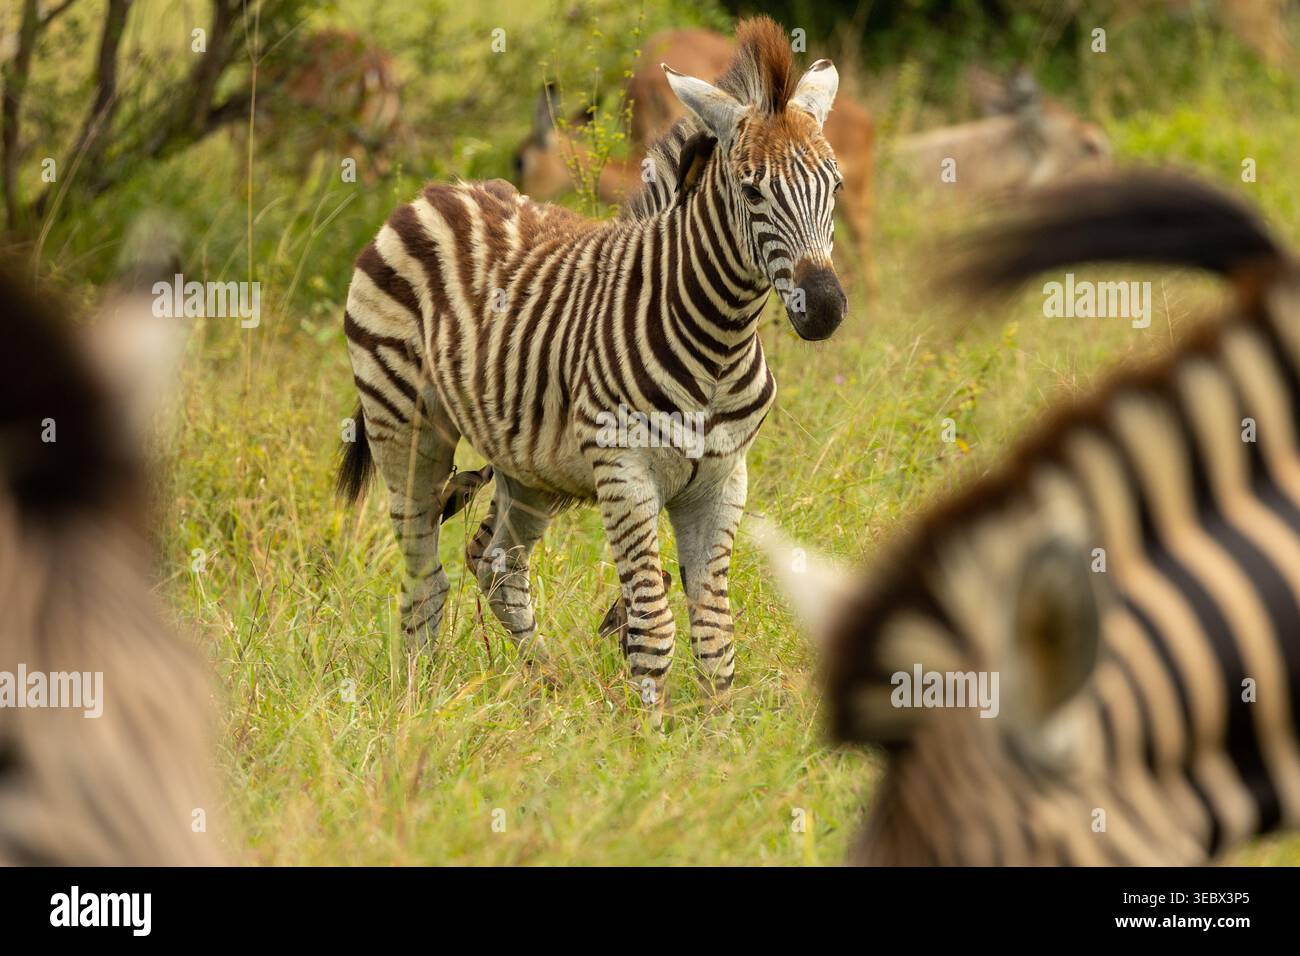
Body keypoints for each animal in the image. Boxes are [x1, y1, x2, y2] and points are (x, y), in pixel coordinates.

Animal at [337, 17, 848, 702]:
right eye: (751, 191)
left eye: (834, 186)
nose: (825, 309)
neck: (720, 342)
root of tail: (437, 193)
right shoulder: (625, 472)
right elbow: (654, 625)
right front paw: (649, 728)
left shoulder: (724, 478)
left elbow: (714, 633)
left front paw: (717, 725)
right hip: (404, 424)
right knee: (425, 578)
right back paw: (419, 699)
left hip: (529, 465)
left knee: (497, 564)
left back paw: (545, 685)